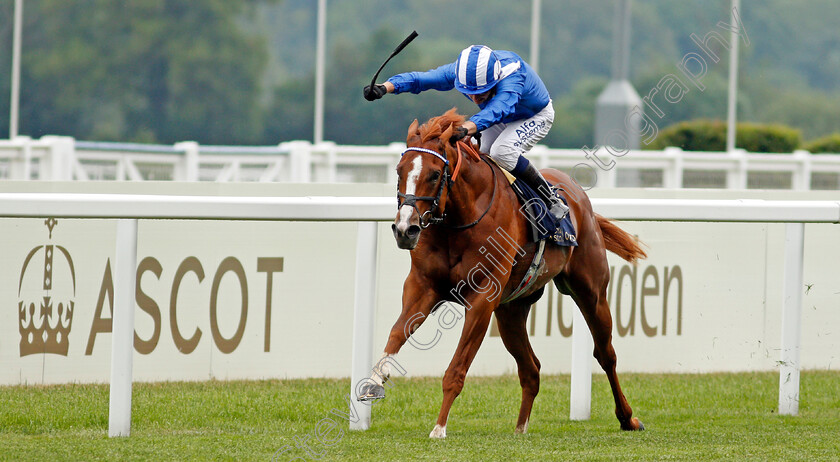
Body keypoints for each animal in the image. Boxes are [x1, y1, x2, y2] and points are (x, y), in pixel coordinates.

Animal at [364, 110, 648, 438]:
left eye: (435, 174)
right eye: (399, 171)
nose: (405, 229)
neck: (459, 220)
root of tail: (578, 195)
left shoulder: (482, 297)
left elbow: (456, 368)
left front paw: (439, 427)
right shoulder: (423, 286)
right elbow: (398, 331)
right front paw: (375, 381)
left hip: (591, 292)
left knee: (605, 354)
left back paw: (628, 418)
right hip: (511, 310)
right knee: (531, 369)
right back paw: (520, 428)